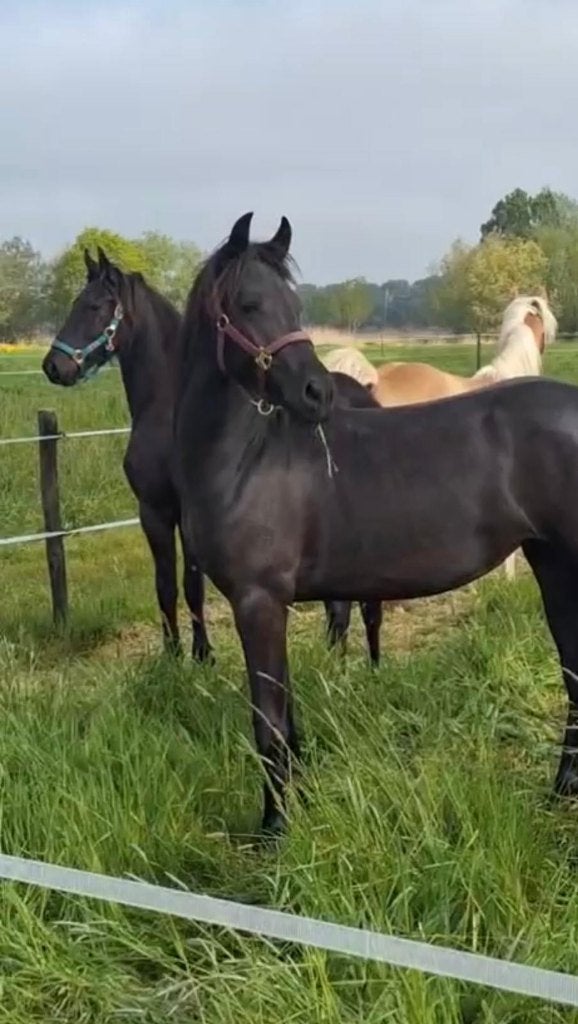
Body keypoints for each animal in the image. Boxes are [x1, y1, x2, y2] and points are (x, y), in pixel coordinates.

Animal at [42, 248, 212, 661]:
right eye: (74, 303)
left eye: (95, 306)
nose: (53, 366)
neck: (169, 408)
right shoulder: (152, 510)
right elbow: (164, 584)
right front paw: (171, 655)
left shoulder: (186, 513)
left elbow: (192, 585)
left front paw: (202, 653)